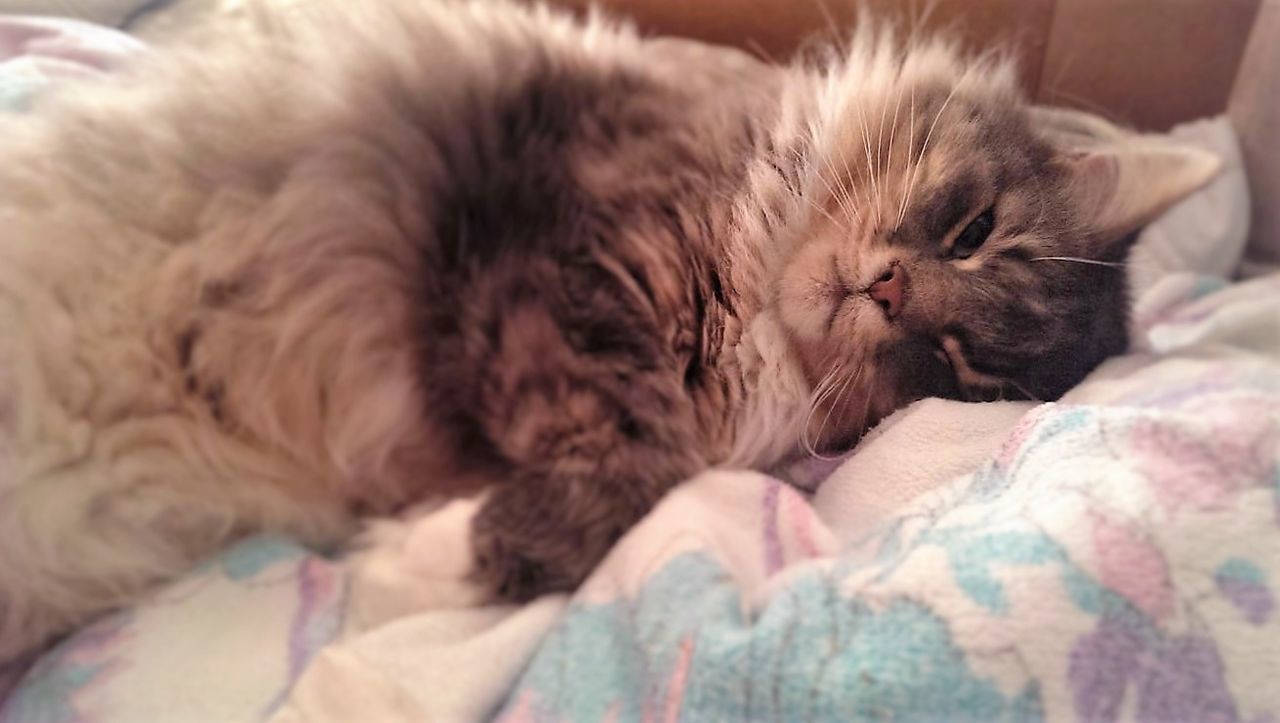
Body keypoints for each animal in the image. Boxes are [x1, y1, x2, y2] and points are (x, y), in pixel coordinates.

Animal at [0, 0, 1218, 660]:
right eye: (972, 233)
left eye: (952, 370)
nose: (888, 296)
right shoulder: (566, 249)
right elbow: (631, 454)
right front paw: (412, 575)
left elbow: (633, 484)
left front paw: (407, 573)